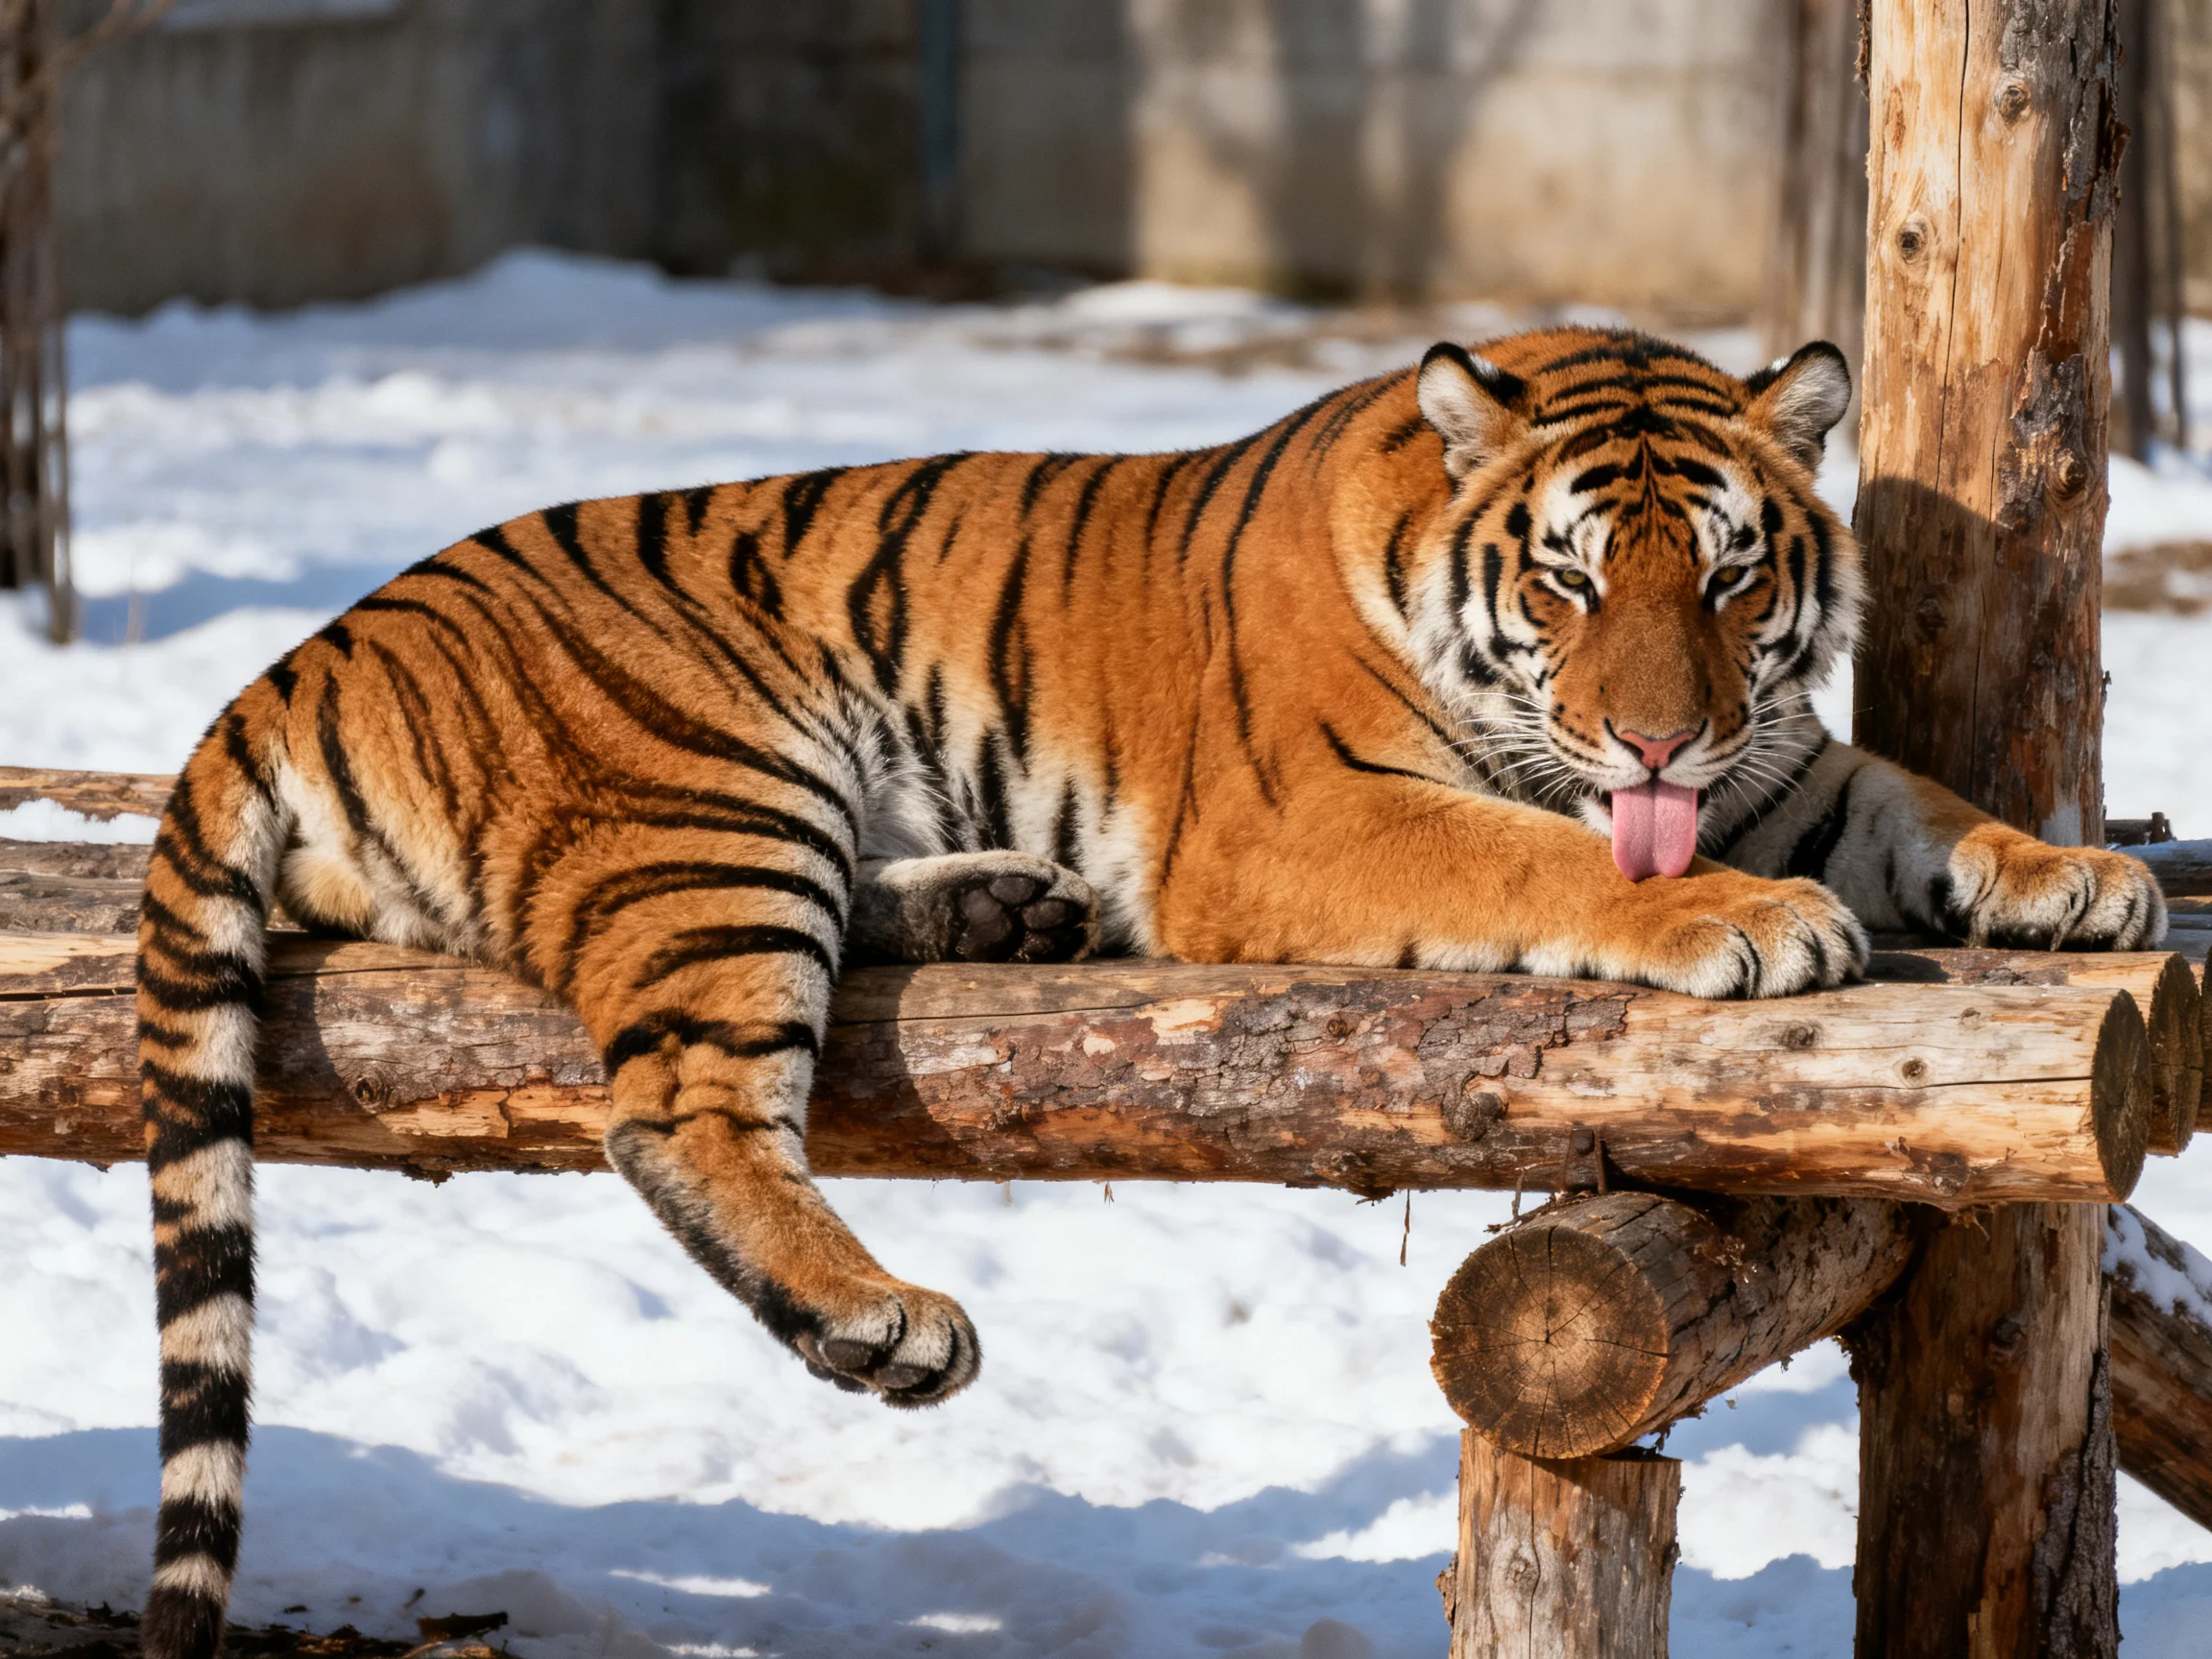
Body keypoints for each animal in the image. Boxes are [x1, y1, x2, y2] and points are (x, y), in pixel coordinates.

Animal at [134, 325, 2164, 1657]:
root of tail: (300, 655)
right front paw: (1744, 918)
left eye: (1734, 579)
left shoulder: (1775, 759)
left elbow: (1904, 793)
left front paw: (2071, 872)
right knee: (671, 1105)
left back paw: (1003, 906)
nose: (1655, 731)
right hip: (712, 796)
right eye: (1572, 581)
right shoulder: (1305, 819)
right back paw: (884, 1316)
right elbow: (1552, 857)